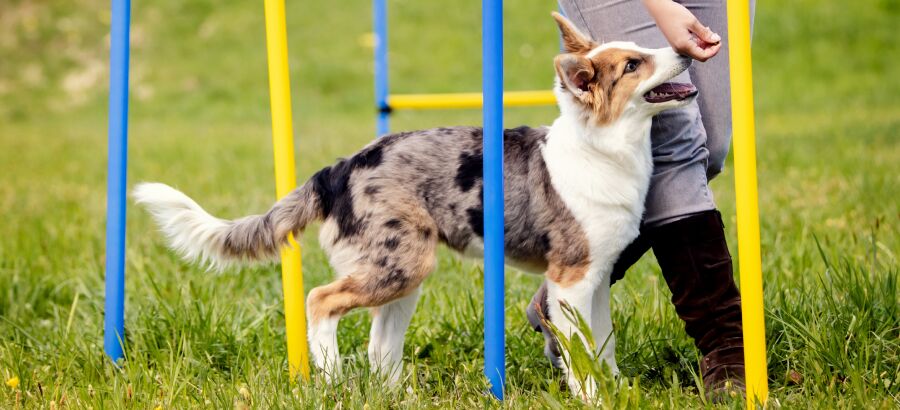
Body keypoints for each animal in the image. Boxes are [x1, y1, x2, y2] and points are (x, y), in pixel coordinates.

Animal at [132, 12, 696, 398]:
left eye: (640, 49)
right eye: (633, 65)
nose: (686, 48)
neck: (604, 149)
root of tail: (340, 168)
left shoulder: (595, 280)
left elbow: (603, 345)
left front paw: (615, 389)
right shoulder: (571, 279)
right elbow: (581, 354)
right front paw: (593, 397)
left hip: (405, 271)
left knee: (380, 345)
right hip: (399, 264)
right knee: (320, 300)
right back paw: (331, 378)